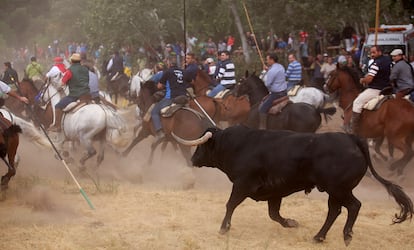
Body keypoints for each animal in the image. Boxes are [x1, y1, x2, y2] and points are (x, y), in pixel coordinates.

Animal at [171, 126, 410, 245]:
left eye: (201, 146)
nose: (193, 159)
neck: (237, 145)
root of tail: (353, 139)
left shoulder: (242, 184)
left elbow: (230, 205)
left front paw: (223, 228)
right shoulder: (274, 192)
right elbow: (274, 214)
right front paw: (291, 223)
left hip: (339, 189)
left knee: (353, 206)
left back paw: (346, 235)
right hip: (335, 191)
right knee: (335, 210)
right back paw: (319, 237)